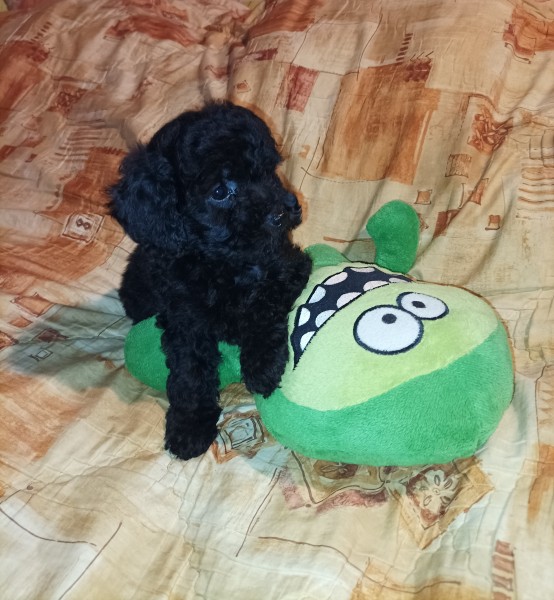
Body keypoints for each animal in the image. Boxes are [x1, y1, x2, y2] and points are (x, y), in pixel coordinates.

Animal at [110, 102, 312, 460]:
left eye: (268, 171)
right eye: (220, 191)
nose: (283, 212)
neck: (219, 260)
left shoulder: (290, 267)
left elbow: (263, 305)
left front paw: (262, 366)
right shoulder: (185, 316)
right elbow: (190, 371)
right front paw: (190, 425)